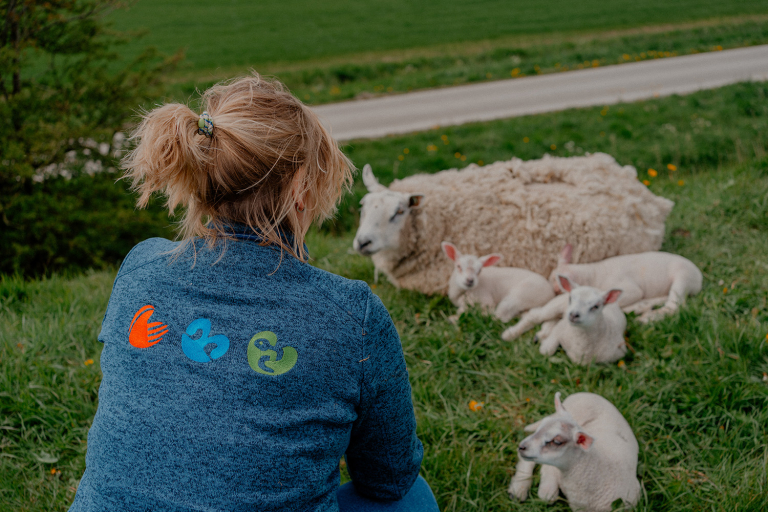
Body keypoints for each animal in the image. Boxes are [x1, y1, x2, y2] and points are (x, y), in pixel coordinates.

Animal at [504, 274, 632, 366]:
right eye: (570, 298)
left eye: (596, 306)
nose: (573, 315)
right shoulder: (563, 325)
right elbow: (547, 350)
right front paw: (546, 344)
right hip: (556, 304)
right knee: (535, 315)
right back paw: (510, 334)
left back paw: (541, 335)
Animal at [544, 244, 704, 324]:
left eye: (555, 285)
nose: (553, 292)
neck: (591, 274)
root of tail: (699, 279)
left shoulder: (629, 288)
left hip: (683, 276)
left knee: (674, 305)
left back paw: (646, 318)